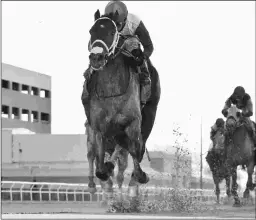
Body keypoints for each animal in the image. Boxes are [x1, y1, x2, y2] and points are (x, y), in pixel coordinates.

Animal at [82, 9, 161, 196]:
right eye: (91, 31)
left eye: (112, 32)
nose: (96, 57)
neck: (112, 89)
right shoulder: (98, 127)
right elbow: (100, 166)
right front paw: (106, 171)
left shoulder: (133, 123)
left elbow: (134, 149)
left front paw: (140, 176)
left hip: (149, 113)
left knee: (136, 147)